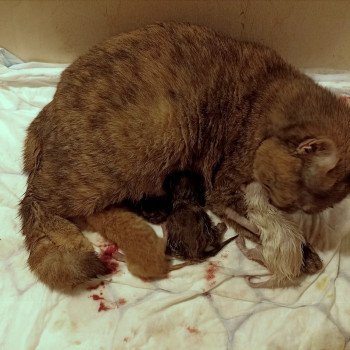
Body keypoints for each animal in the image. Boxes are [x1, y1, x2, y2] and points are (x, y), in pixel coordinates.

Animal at [20, 21, 350, 290]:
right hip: (123, 160)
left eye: (301, 208)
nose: (281, 206)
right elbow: (259, 224)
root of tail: (48, 111)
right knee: (36, 203)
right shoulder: (225, 190)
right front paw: (304, 256)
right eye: (290, 201)